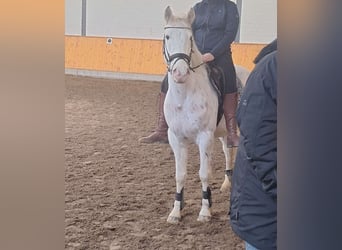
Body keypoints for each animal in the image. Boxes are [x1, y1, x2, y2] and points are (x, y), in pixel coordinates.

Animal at [163, 6, 248, 224]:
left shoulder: (204, 137)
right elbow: (180, 175)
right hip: (224, 133)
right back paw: (226, 184)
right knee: (228, 151)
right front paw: (176, 211)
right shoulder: (176, 138)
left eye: (190, 38)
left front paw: (205, 211)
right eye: (167, 36)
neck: (184, 96)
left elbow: (203, 174)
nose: (180, 73)